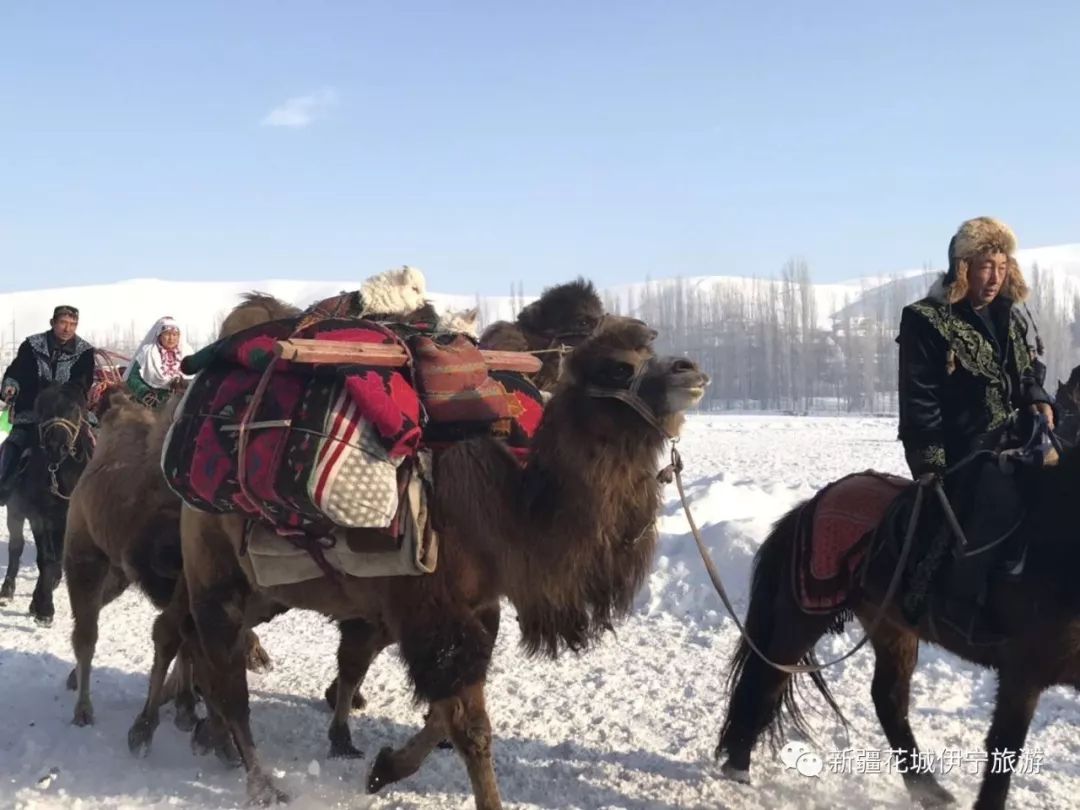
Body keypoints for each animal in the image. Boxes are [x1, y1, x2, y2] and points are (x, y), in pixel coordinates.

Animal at [177, 313, 708, 807]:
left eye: (648, 351)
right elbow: (471, 727)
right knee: (227, 677)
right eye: (619, 367)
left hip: (266, 591)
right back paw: (260, 783)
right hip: (217, 576)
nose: (691, 369)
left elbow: (442, 718)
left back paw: (212, 739)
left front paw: (383, 769)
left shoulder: (477, 609)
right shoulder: (432, 612)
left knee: (204, 649)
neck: (504, 512)